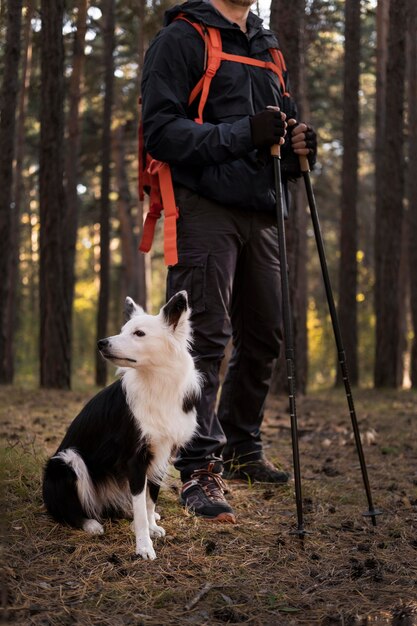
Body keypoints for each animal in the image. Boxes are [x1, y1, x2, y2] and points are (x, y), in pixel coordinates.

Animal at [41, 290, 201, 560]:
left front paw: (151, 525)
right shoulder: (135, 457)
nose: (101, 343)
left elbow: (149, 500)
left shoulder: (161, 452)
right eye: (123, 330)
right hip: (67, 460)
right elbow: (140, 505)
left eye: (139, 333)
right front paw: (144, 545)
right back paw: (90, 524)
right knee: (66, 509)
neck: (156, 382)